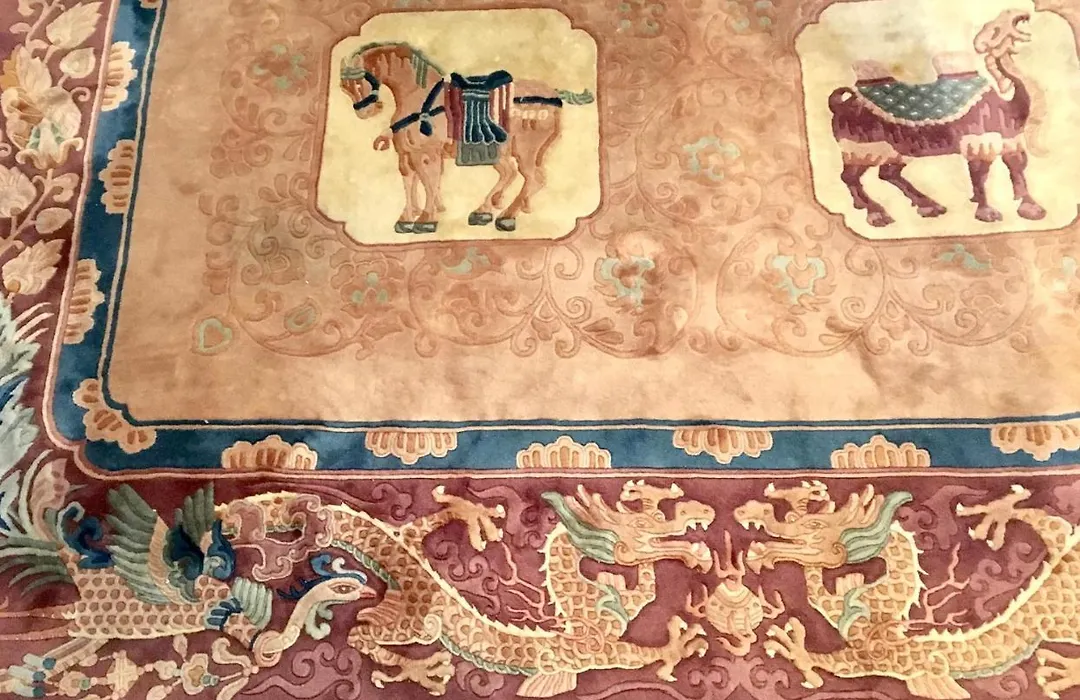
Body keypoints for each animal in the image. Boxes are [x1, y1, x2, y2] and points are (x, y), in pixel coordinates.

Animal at [339, 42, 594, 234]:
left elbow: (428, 181)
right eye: (344, 87)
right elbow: (413, 182)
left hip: (525, 151)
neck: (420, 98)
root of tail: (553, 95)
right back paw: (484, 211)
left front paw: (427, 219)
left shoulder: (427, 154)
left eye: (360, 81)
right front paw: (408, 218)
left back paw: (507, 217)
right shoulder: (406, 154)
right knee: (511, 174)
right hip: (502, 152)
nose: (365, 112)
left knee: (534, 179)